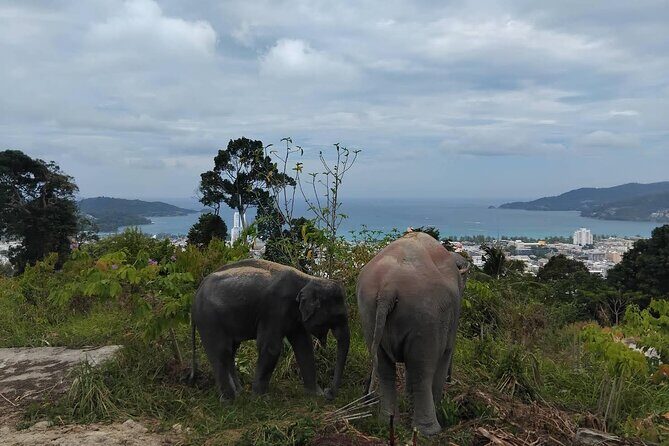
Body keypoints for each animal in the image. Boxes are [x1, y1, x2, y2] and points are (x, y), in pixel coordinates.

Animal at [190, 259, 350, 401]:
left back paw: (239, 393)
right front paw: (260, 399)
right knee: (221, 351)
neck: (308, 279)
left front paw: (316, 395)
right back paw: (230, 400)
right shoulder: (274, 309)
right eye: (337, 316)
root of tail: (196, 293)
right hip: (209, 319)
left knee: (231, 351)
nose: (329, 393)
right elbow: (271, 348)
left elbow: (304, 346)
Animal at [357, 232, 469, 436]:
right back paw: (430, 431)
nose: (452, 382)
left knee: (385, 368)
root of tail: (388, 288)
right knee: (422, 370)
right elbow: (445, 353)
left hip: (368, 311)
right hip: (425, 318)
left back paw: (387, 421)